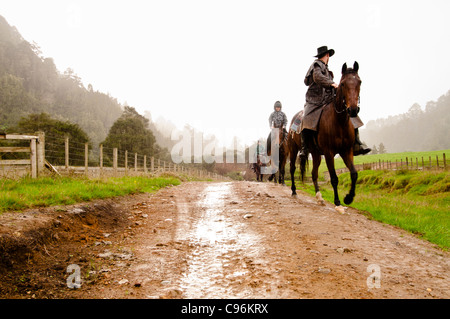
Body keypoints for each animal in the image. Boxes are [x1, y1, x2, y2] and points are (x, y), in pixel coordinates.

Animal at [298, 62, 362, 210]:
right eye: (343, 84)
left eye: (359, 82)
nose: (353, 110)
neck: (339, 121)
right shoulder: (329, 153)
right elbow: (333, 178)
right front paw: (338, 202)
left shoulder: (346, 151)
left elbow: (354, 173)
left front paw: (349, 198)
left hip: (316, 154)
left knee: (314, 174)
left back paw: (320, 198)